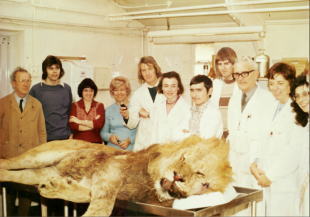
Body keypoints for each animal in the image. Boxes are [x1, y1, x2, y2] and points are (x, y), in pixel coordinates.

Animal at [0, 136, 232, 215]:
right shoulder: (112, 166)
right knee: (6, 162)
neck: (151, 185)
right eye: (183, 158)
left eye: (201, 176)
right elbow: (104, 203)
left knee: (13, 174)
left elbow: (87, 194)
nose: (177, 177)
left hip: (37, 171)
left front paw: (56, 186)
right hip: (40, 156)